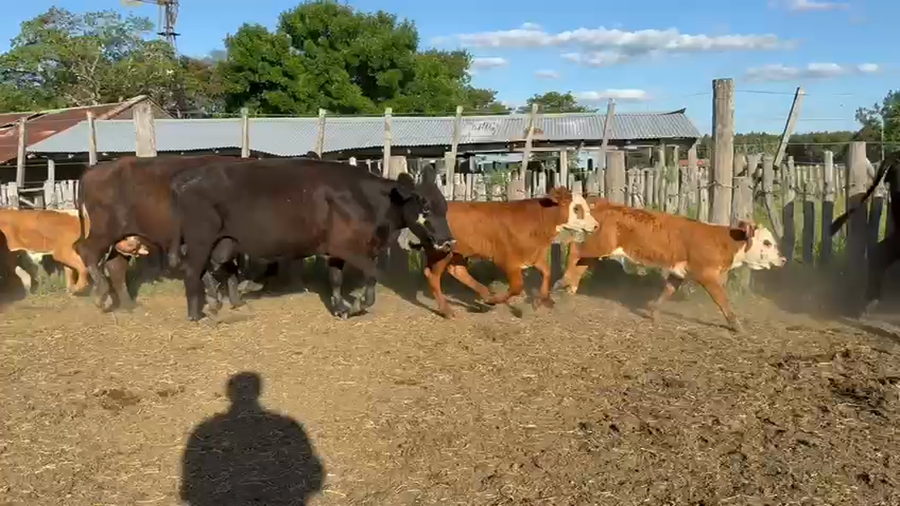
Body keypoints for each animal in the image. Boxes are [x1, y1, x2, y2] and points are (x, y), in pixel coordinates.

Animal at [167, 158, 455, 321]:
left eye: (444, 206)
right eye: (425, 206)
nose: (448, 241)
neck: (365, 199)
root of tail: (189, 178)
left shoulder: (337, 251)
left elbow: (337, 280)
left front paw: (341, 308)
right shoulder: (349, 248)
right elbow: (372, 275)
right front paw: (356, 305)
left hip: (224, 243)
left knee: (212, 268)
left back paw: (221, 303)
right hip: (200, 239)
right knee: (192, 270)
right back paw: (196, 314)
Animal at [404, 186, 599, 318]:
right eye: (576, 208)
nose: (596, 226)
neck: (536, 219)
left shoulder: (534, 255)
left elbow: (546, 273)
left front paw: (540, 300)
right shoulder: (507, 260)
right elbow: (517, 287)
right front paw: (496, 301)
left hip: (458, 252)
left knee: (457, 271)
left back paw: (484, 295)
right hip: (441, 252)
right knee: (432, 275)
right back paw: (448, 310)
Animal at [552, 198, 786, 333]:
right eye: (767, 242)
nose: (782, 259)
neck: (721, 240)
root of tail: (604, 204)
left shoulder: (679, 272)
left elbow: (668, 291)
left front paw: (653, 312)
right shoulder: (707, 275)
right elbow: (722, 300)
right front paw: (736, 325)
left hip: (600, 246)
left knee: (581, 261)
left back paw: (570, 287)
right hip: (599, 244)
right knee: (575, 250)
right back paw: (563, 283)